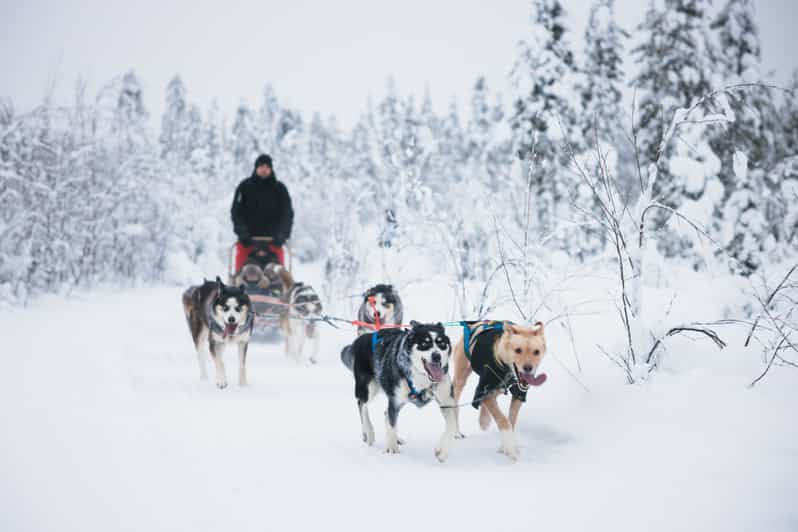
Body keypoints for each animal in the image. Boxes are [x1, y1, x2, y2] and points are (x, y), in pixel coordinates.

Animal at [454, 320, 548, 462]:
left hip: (497, 387)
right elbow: (503, 420)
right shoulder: (485, 389)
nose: (528, 368)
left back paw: (484, 419)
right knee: (454, 405)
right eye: (518, 350)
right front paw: (510, 449)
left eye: (536, 352)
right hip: (461, 378)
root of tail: (474, 324)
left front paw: (505, 446)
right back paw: (457, 432)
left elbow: (511, 421)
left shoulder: (518, 394)